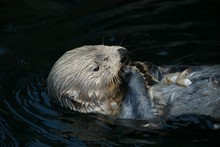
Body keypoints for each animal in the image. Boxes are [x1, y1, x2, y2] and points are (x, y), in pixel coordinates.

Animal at [47, 44, 220, 120]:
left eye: (101, 45)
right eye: (96, 68)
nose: (122, 54)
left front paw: (144, 66)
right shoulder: (125, 115)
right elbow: (145, 112)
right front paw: (130, 71)